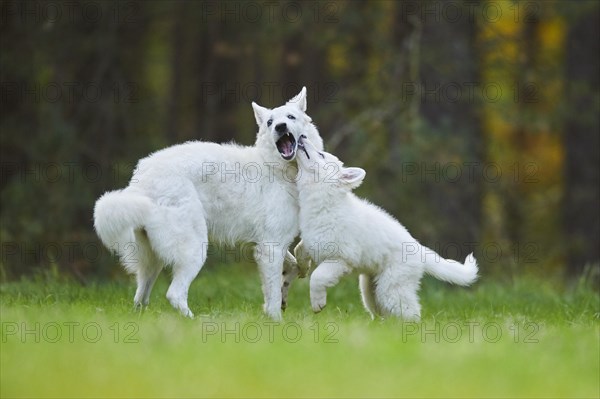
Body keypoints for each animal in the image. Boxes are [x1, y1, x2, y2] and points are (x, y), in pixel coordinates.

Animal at [94, 87, 324, 318]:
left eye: (290, 117)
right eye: (270, 122)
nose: (280, 126)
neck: (278, 169)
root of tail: (139, 183)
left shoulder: (265, 244)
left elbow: (292, 266)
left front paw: (291, 283)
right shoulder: (271, 246)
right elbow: (274, 295)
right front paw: (276, 320)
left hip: (152, 261)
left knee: (140, 297)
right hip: (195, 249)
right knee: (174, 294)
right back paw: (194, 320)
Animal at [292, 138, 476, 322]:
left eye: (321, 154)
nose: (301, 138)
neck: (325, 201)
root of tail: (419, 250)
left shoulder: (340, 258)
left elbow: (317, 277)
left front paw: (317, 303)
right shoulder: (312, 241)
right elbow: (299, 249)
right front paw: (302, 268)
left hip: (392, 287)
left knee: (409, 310)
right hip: (370, 288)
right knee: (381, 311)